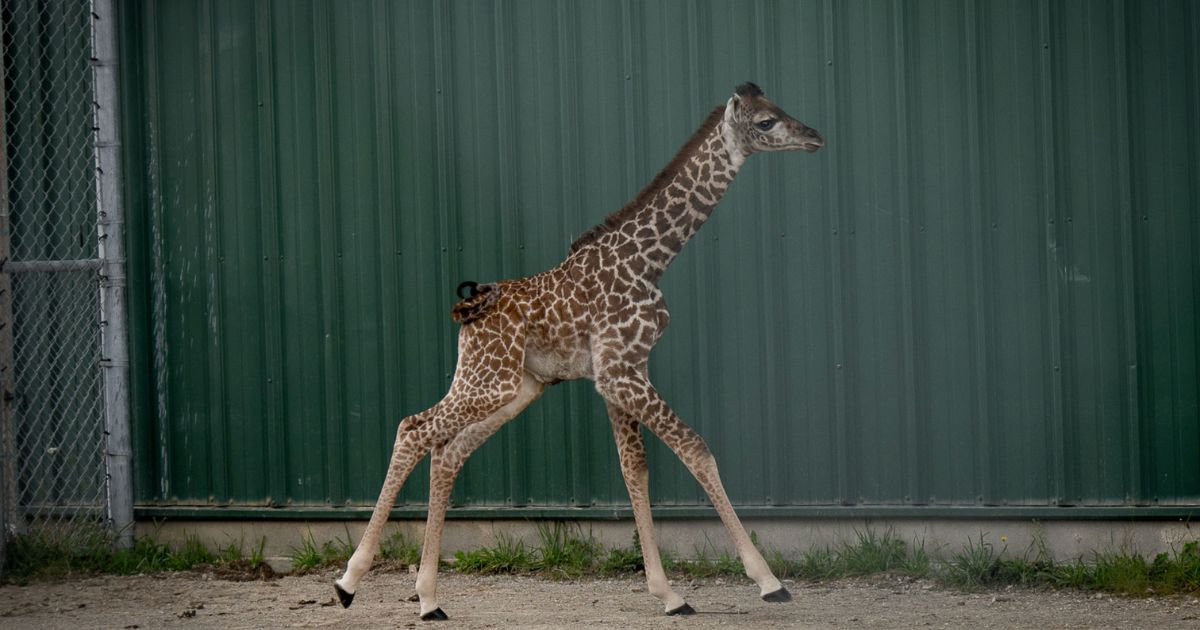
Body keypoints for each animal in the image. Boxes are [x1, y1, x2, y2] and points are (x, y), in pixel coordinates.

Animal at [334, 82, 824, 620]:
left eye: (779, 109)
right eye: (765, 123)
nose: (815, 136)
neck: (649, 260)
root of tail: (468, 313)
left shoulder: (621, 372)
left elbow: (635, 469)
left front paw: (669, 594)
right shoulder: (620, 373)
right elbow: (696, 449)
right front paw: (768, 581)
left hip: (514, 387)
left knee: (447, 451)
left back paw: (428, 599)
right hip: (489, 381)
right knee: (413, 429)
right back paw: (348, 582)